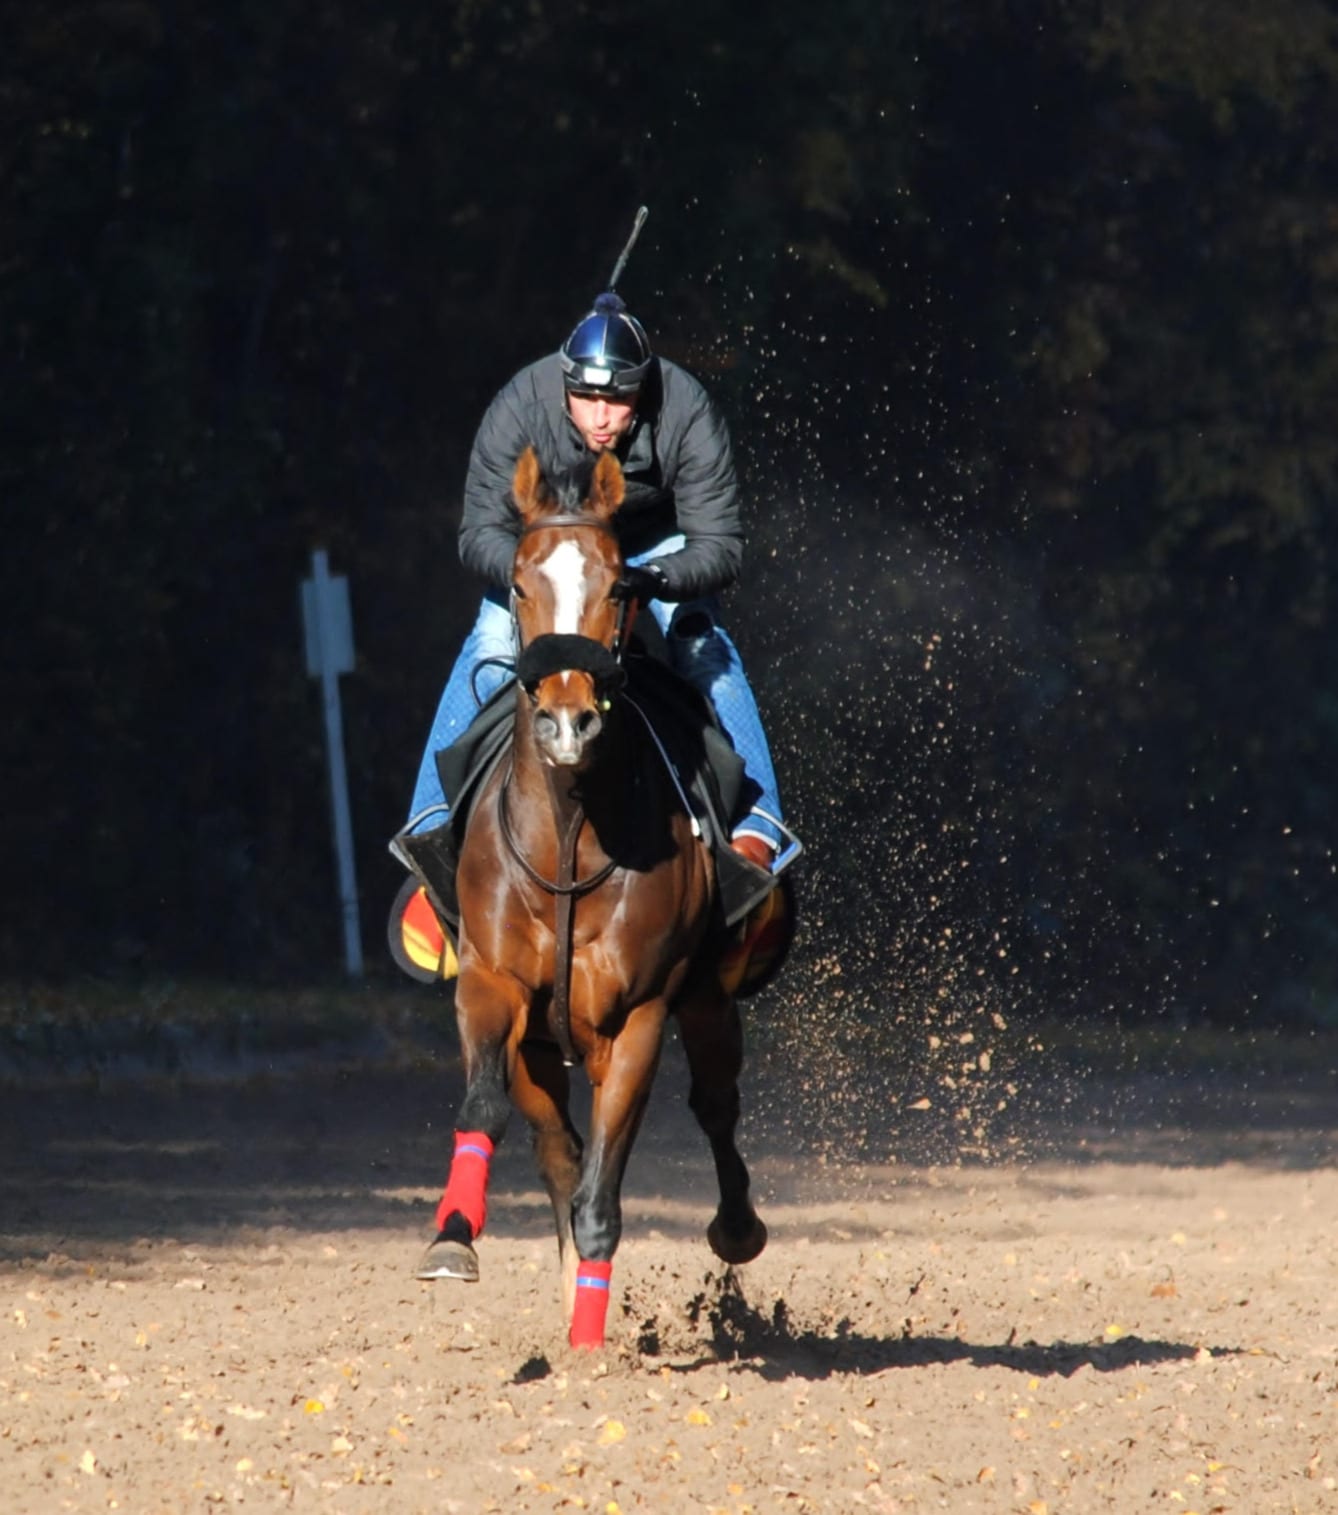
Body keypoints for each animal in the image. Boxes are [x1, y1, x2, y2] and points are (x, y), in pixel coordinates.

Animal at [414, 444, 767, 1349]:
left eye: (618, 585)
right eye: (516, 582)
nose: (569, 721)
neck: (571, 832)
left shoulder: (638, 1017)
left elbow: (606, 1189)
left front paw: (587, 1347)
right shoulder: (492, 984)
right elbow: (489, 1108)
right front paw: (453, 1235)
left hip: (708, 998)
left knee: (715, 1104)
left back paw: (736, 1226)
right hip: (541, 1044)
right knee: (559, 1148)